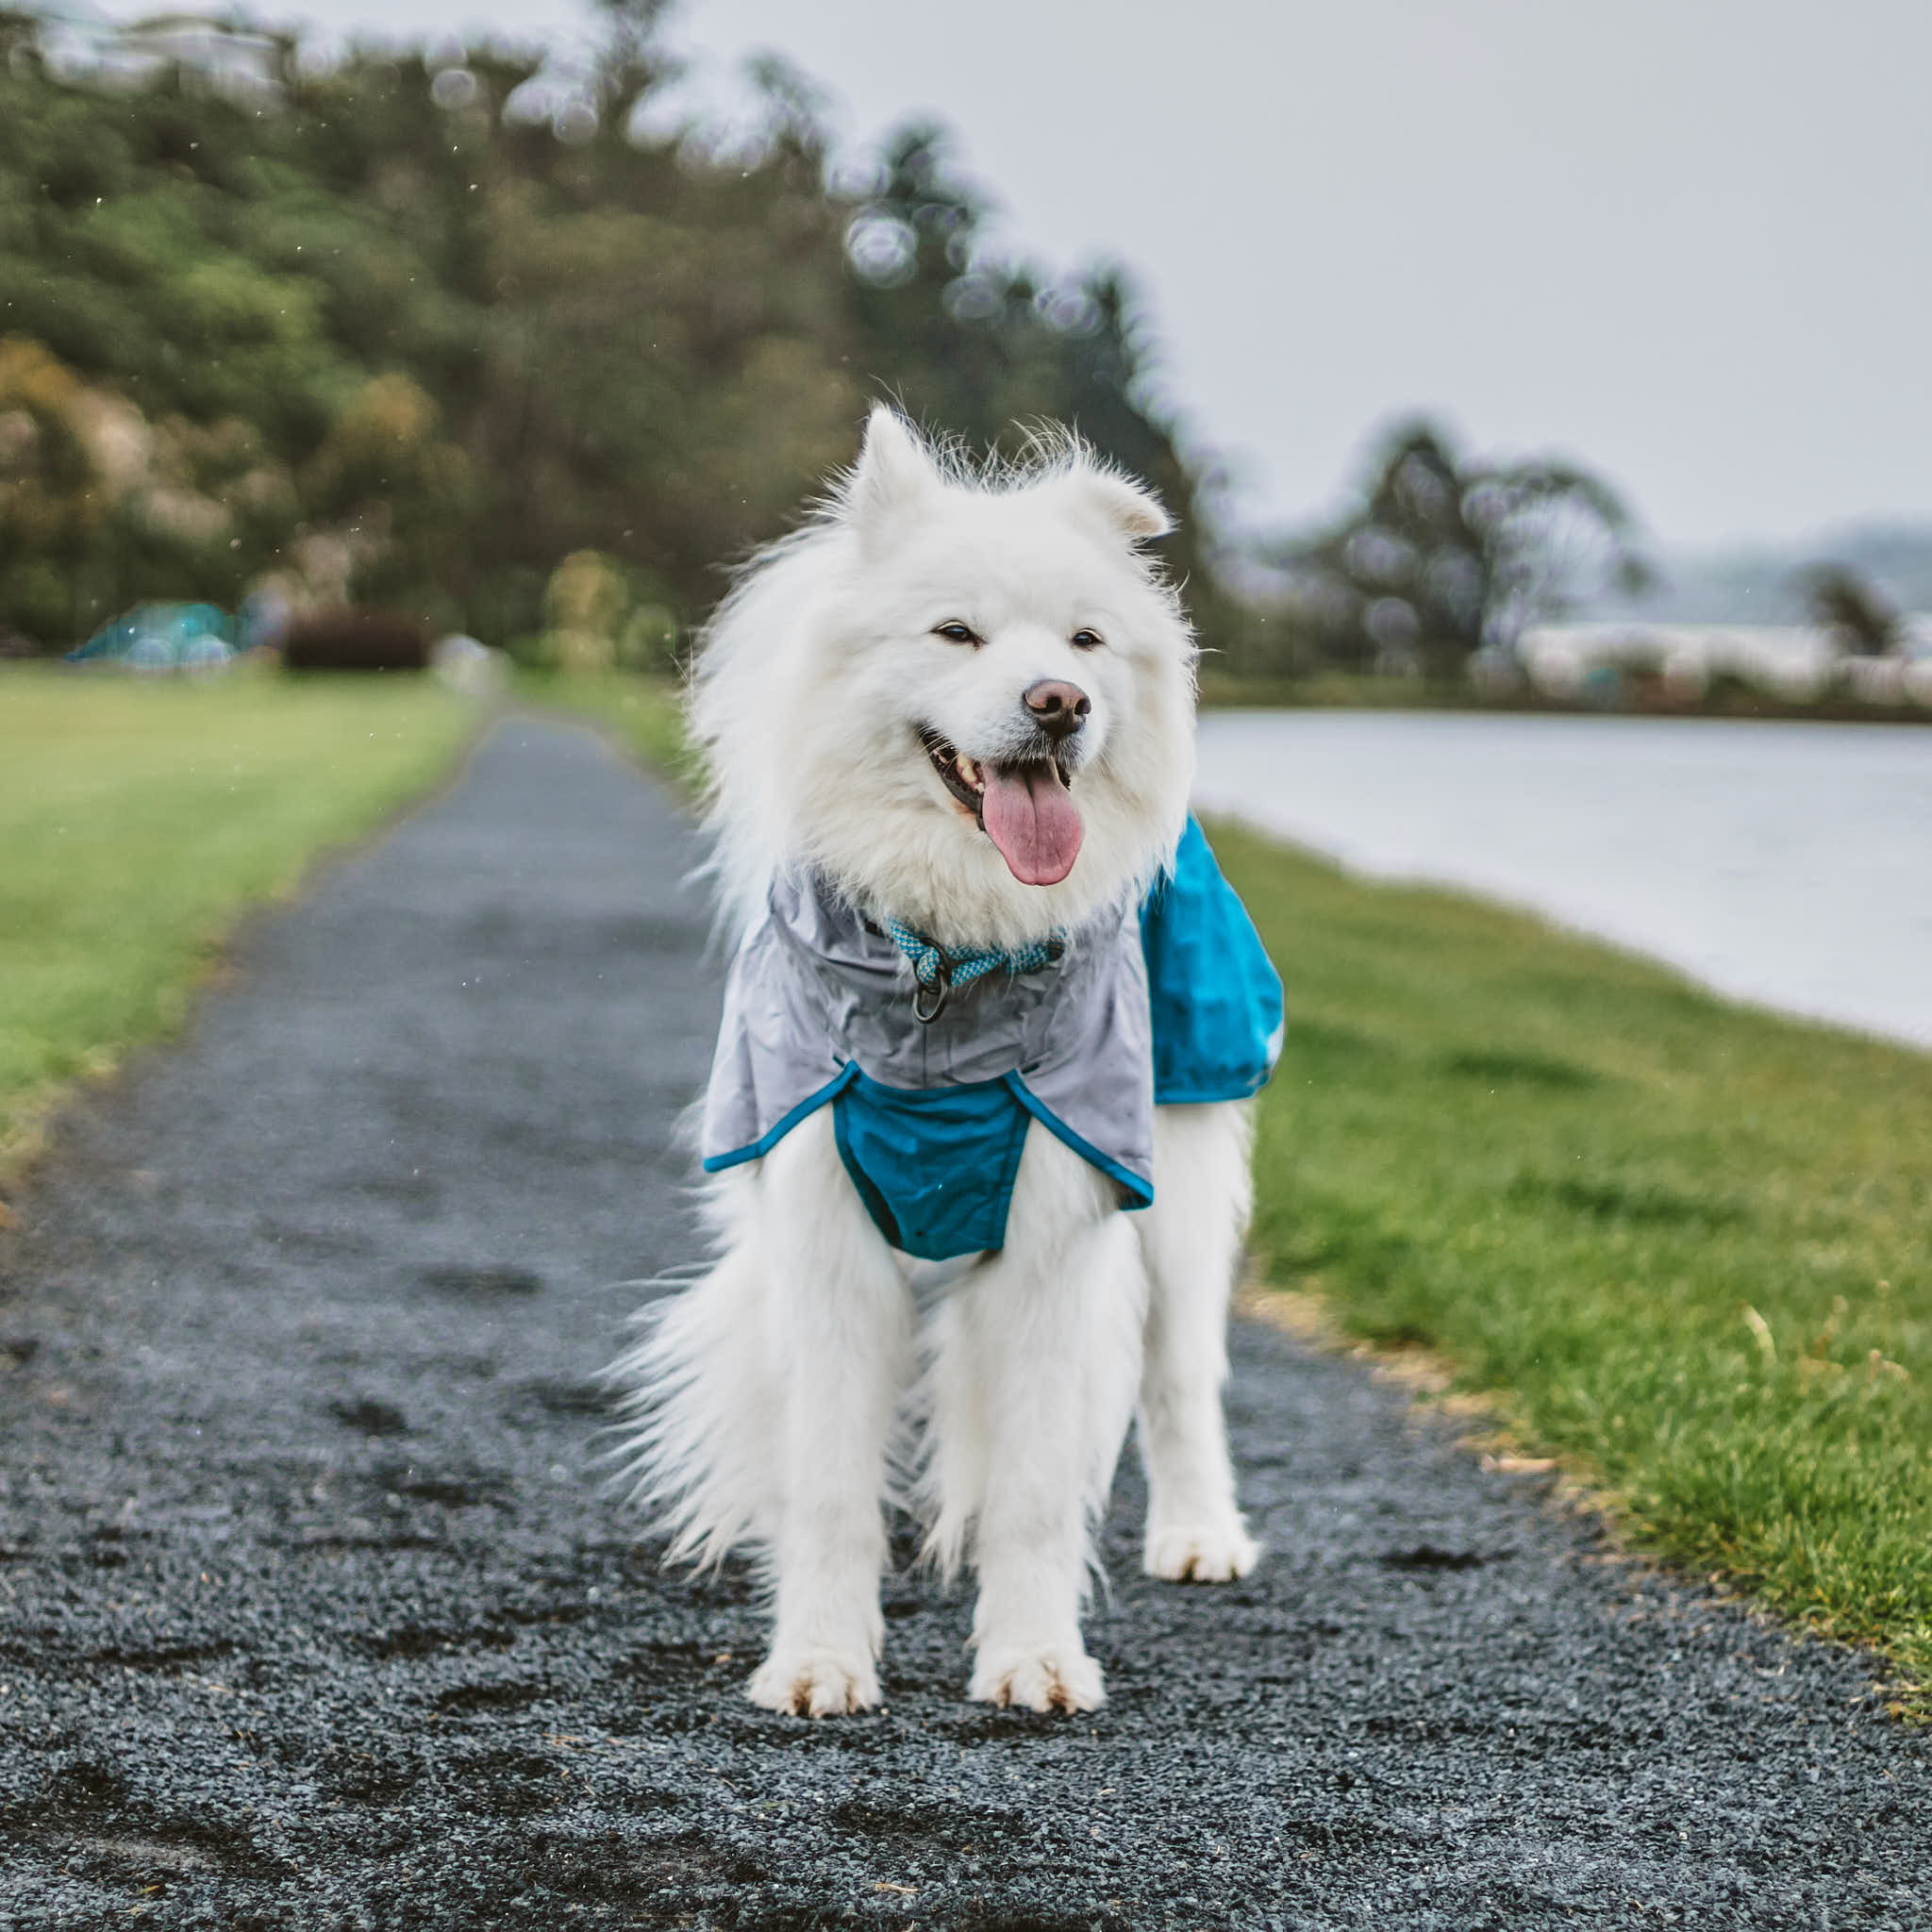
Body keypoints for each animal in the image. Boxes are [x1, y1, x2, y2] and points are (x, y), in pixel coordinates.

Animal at [618, 408, 1274, 1723]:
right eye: (954, 631)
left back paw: (1197, 1534)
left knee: (1179, 1374)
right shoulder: (826, 1232)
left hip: (1176, 1179)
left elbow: (1030, 1485)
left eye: (1084, 639)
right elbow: (829, 1482)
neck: (947, 963)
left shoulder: (1054, 1227)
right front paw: (819, 1660)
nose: (1059, 700)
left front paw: (1032, 1658)